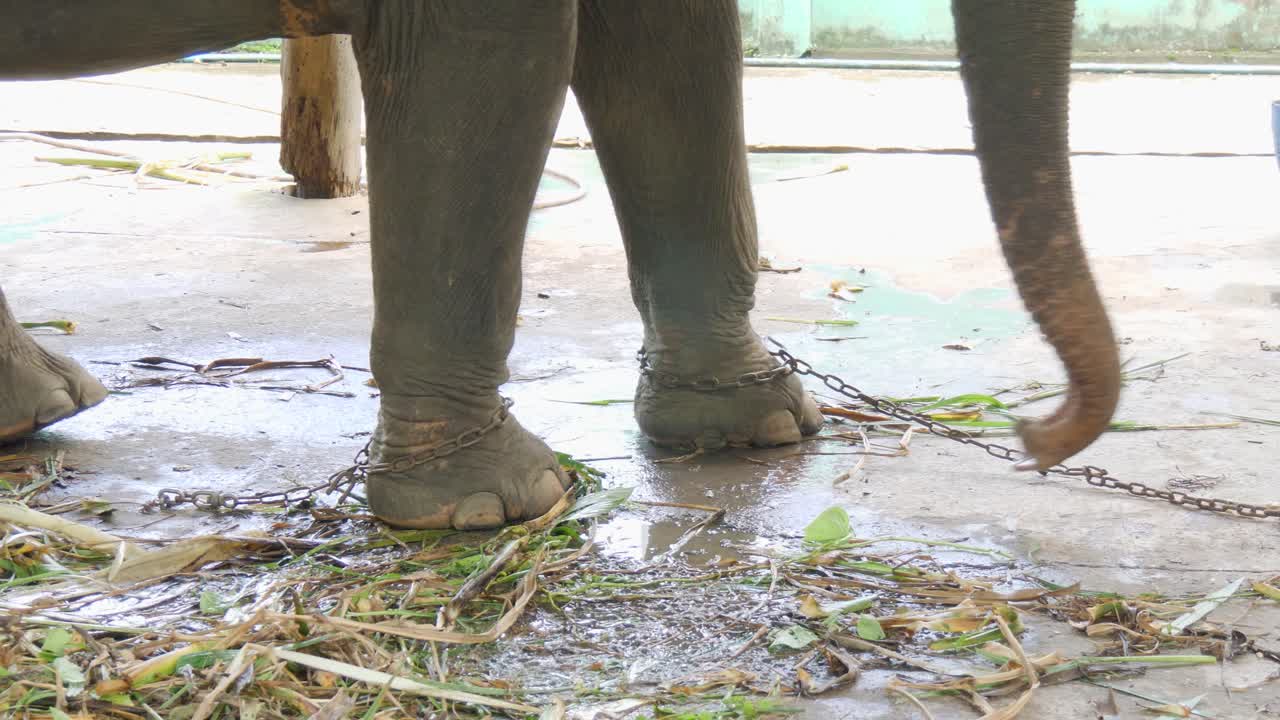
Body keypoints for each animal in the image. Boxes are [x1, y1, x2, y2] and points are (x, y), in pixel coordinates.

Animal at [0, 1, 1120, 529]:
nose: (1035, 436)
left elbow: (671, 48)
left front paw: (753, 430)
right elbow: (493, 60)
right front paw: (495, 507)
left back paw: (39, 410)